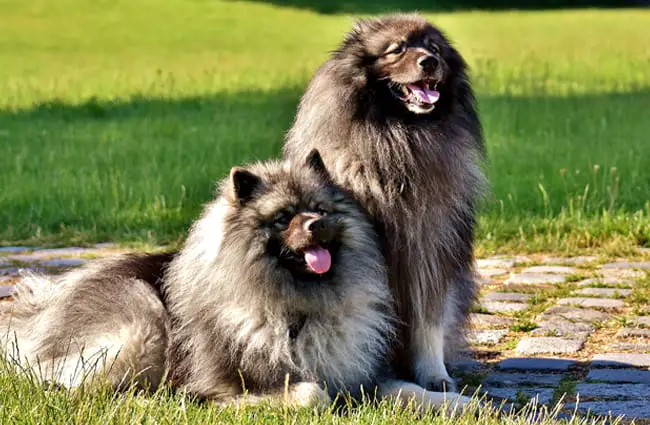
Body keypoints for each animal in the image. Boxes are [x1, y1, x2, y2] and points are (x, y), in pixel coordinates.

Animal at [1, 150, 470, 410]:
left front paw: (458, 402)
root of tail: (45, 303)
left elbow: (409, 390)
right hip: (142, 321)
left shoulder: (360, 377)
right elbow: (310, 395)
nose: (317, 225)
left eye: (321, 209)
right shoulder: (239, 377)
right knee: (75, 385)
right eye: (283, 218)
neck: (300, 308)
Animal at [280, 13, 484, 390]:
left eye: (434, 49)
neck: (398, 137)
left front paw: (435, 375)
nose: (429, 62)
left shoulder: (429, 256)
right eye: (397, 49)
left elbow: (428, 324)